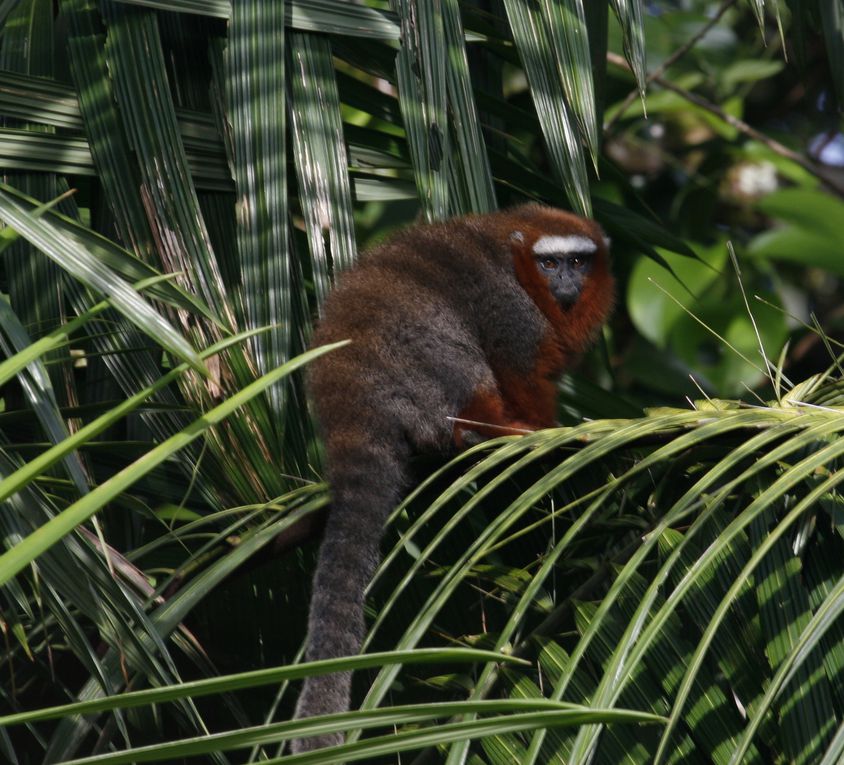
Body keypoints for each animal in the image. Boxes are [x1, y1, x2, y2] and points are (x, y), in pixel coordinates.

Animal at [290, 203, 612, 752]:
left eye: (577, 261)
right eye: (550, 264)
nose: (566, 280)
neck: (519, 263)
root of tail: (347, 395)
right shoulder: (512, 307)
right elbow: (517, 366)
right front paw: (543, 427)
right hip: (411, 380)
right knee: (454, 355)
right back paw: (483, 429)